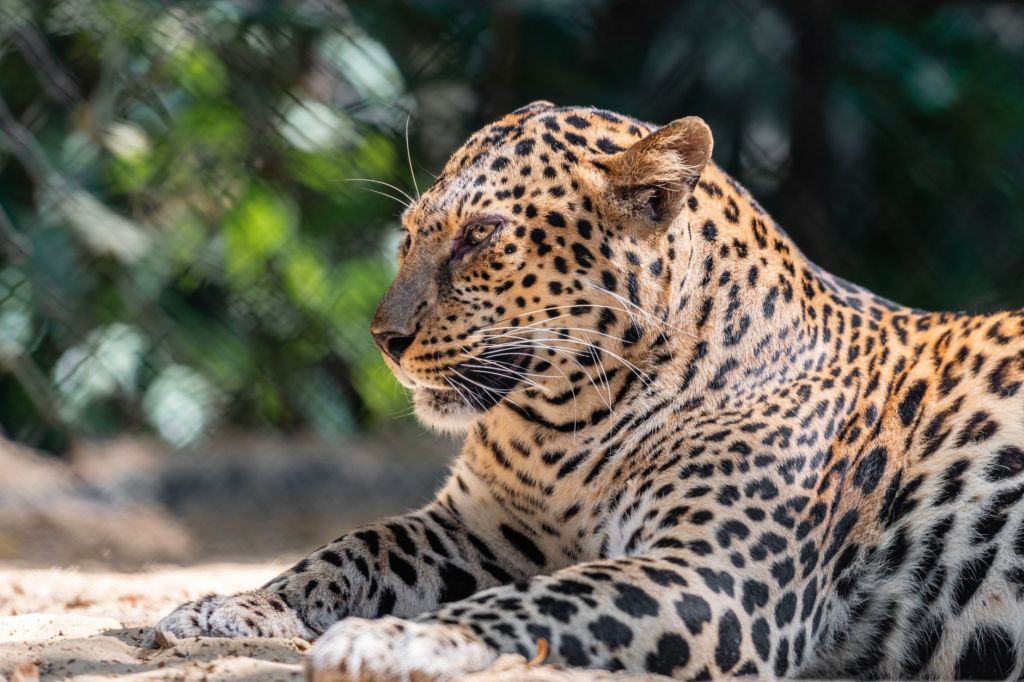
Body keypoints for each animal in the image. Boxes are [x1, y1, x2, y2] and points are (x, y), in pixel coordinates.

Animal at [153, 101, 1024, 681]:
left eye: (481, 236)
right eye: (408, 236)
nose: (383, 339)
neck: (564, 425)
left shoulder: (715, 578)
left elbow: (549, 599)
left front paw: (400, 639)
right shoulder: (481, 530)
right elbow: (355, 547)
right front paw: (230, 607)